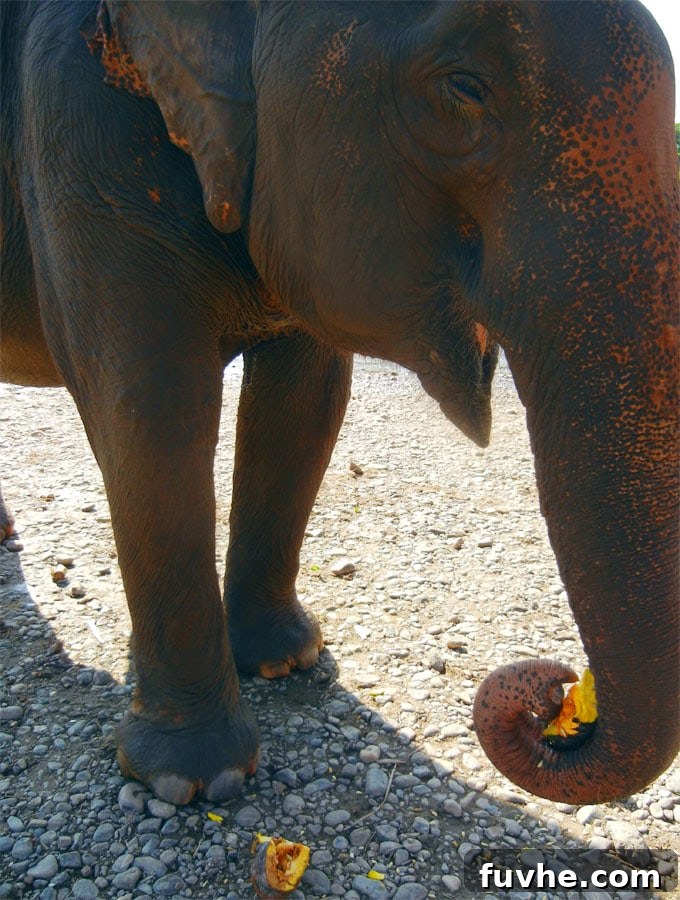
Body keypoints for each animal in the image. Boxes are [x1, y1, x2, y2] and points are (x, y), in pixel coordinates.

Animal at [1, 0, 677, 807]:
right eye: (464, 87)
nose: (558, 695)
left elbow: (307, 400)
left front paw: (286, 660)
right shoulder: (70, 129)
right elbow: (150, 408)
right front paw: (194, 780)